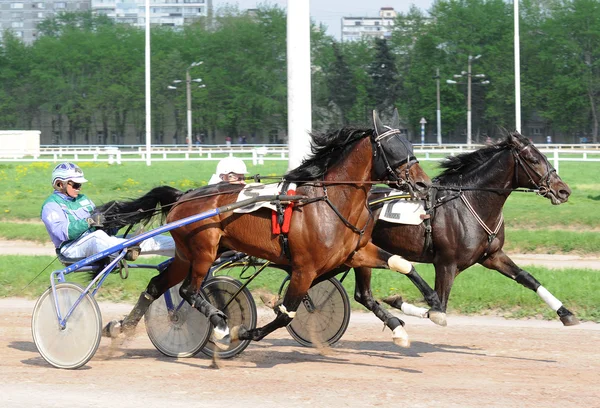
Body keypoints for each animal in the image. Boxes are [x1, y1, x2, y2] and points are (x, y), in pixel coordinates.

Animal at [98, 111, 440, 348]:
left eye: (409, 144)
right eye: (394, 148)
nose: (424, 184)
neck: (330, 202)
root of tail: (184, 195)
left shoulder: (357, 252)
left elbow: (401, 265)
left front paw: (429, 308)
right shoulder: (304, 269)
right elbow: (286, 312)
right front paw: (244, 331)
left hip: (187, 255)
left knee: (157, 285)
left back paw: (121, 327)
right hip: (203, 250)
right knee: (188, 291)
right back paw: (220, 324)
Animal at [354, 131, 580, 326]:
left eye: (544, 156)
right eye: (533, 160)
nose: (563, 191)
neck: (472, 202)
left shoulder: (492, 256)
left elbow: (528, 278)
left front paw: (566, 313)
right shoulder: (446, 264)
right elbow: (439, 308)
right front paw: (396, 300)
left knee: (362, 295)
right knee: (363, 295)